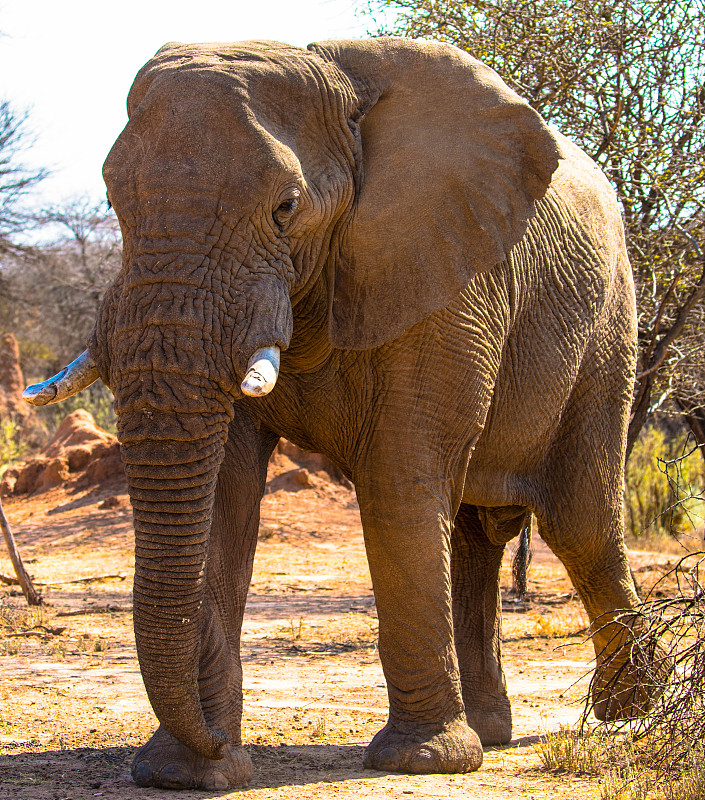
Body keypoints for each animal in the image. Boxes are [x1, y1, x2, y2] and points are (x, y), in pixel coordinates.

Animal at [26, 36, 656, 788]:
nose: (216, 740)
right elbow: (224, 493)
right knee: (477, 534)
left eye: (286, 206)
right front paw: (189, 773)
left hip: (608, 326)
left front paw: (422, 762)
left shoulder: (440, 269)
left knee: (579, 521)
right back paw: (495, 731)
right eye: (113, 200)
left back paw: (626, 717)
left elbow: (399, 477)